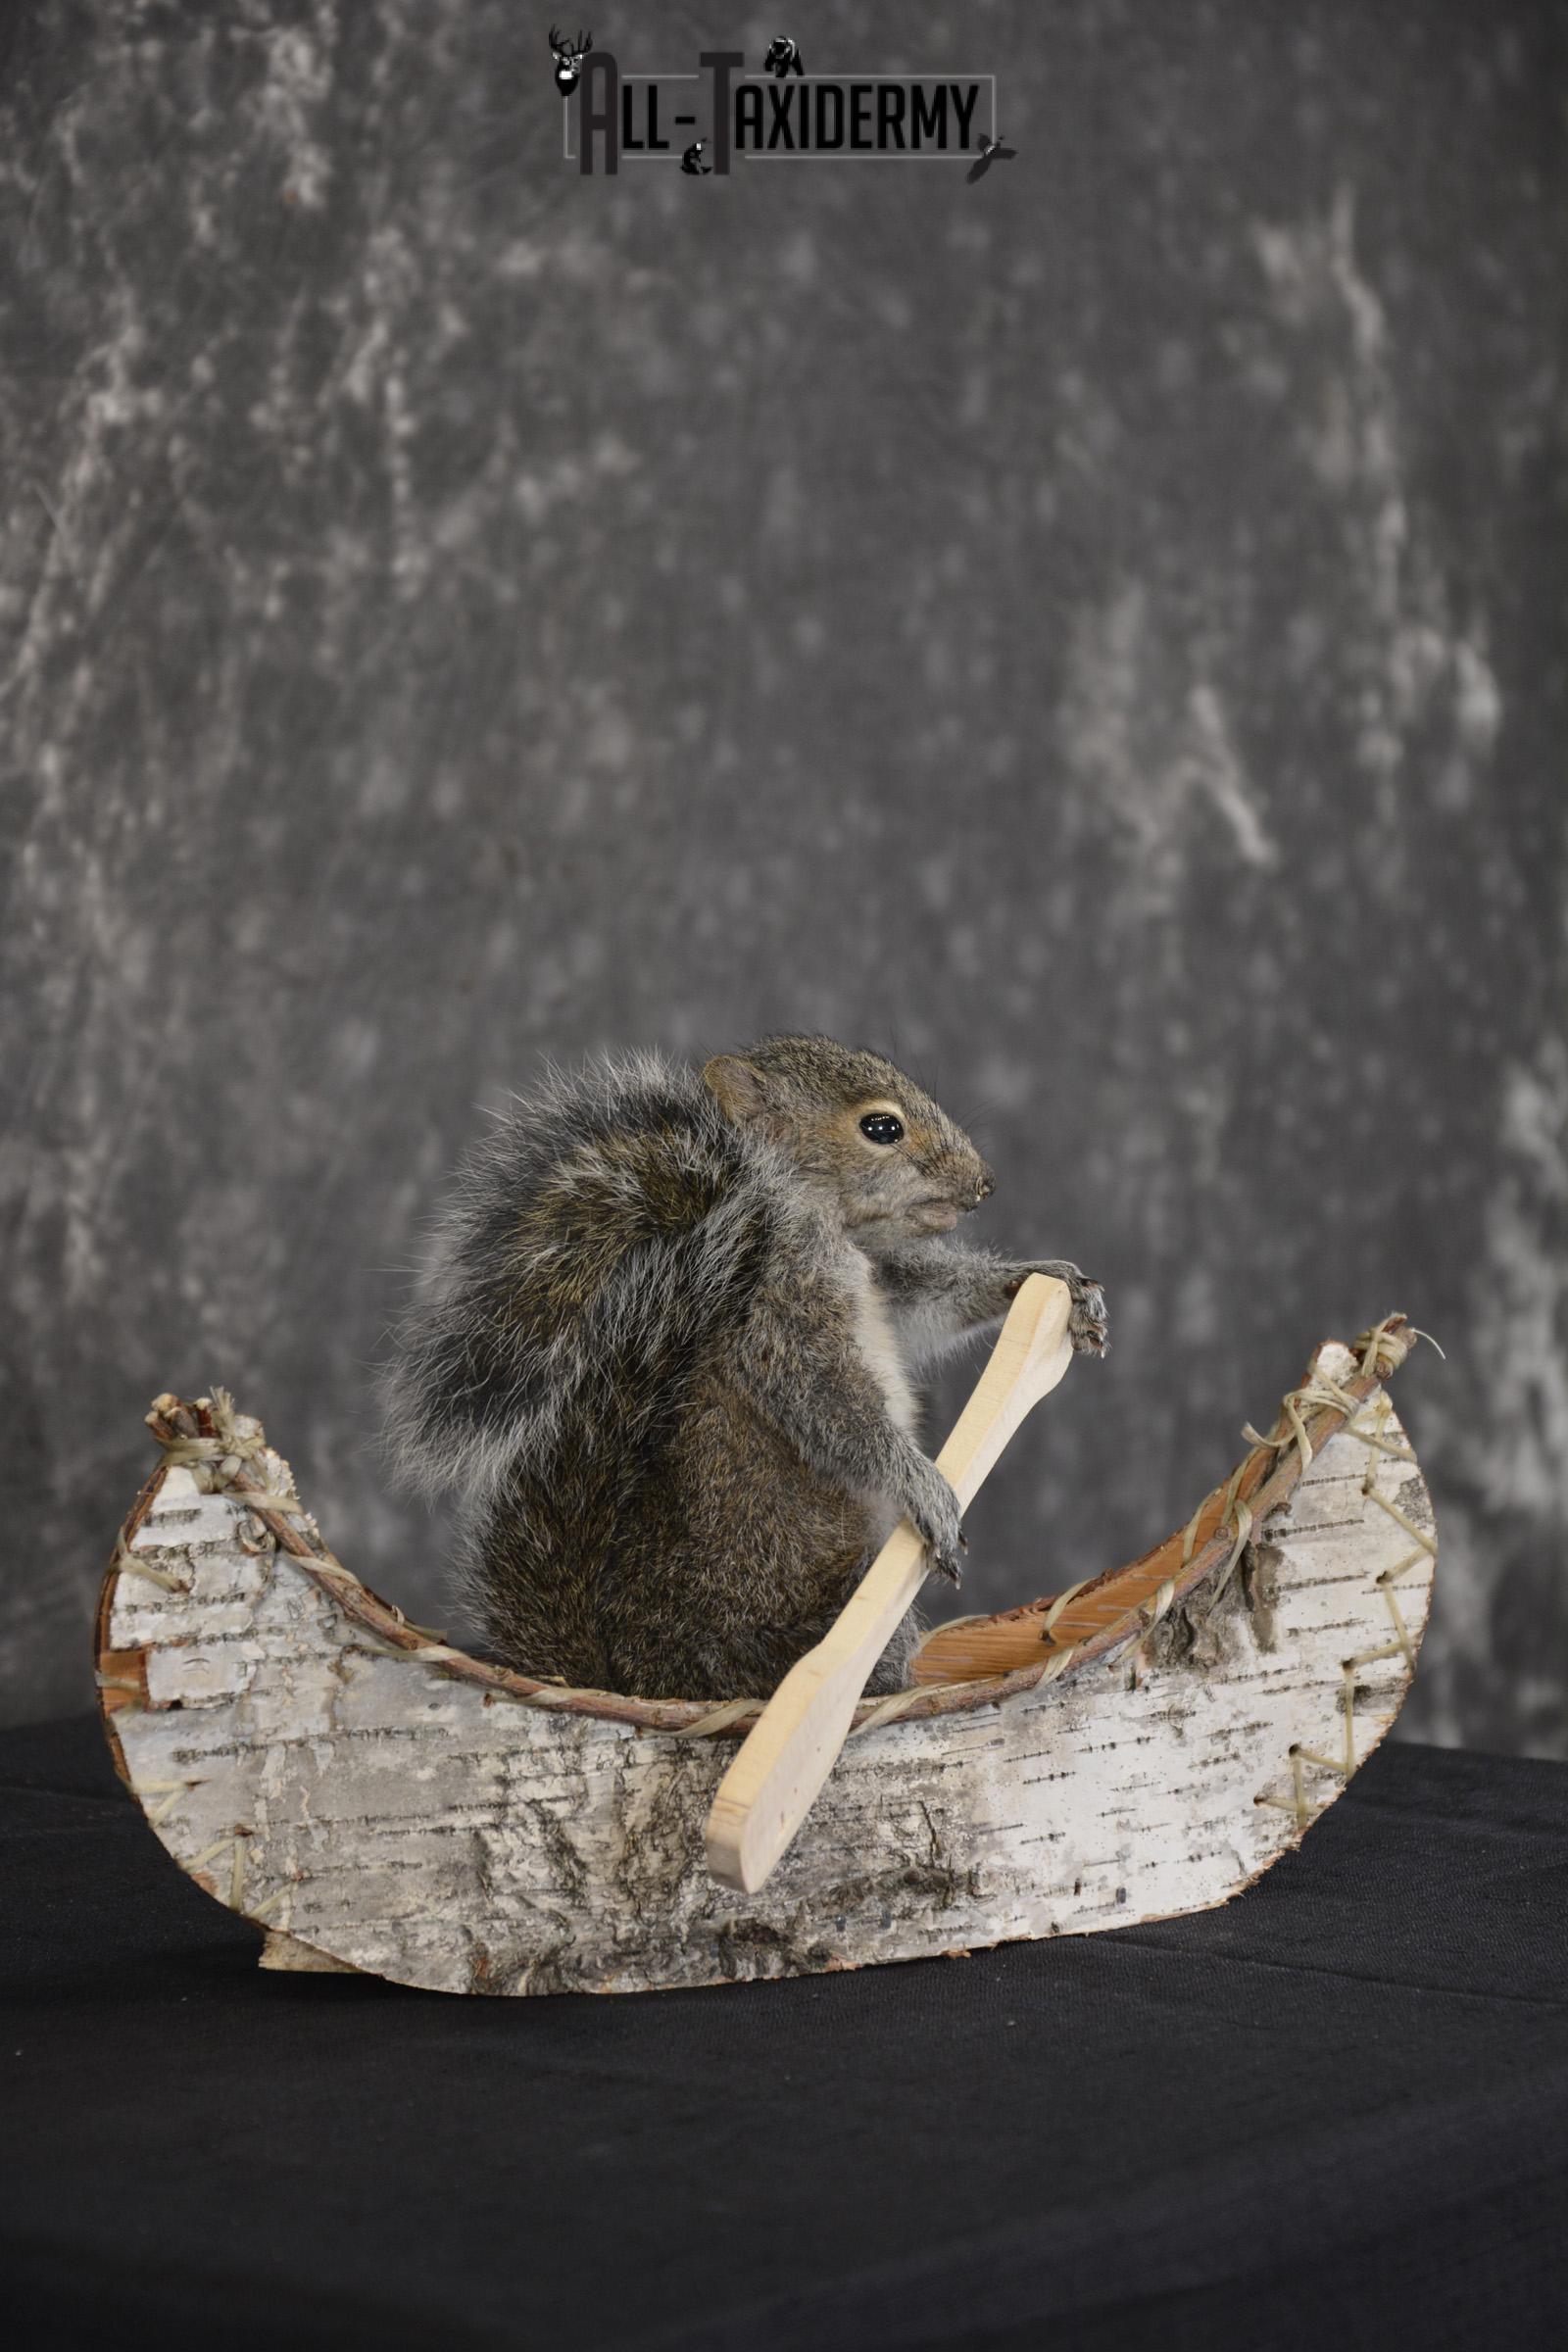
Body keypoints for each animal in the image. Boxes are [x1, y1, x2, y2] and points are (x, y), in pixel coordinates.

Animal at [381, 1036, 1107, 1701]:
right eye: (881, 1128)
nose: (984, 1184)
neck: (808, 1218)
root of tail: (644, 1683)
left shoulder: (880, 1275)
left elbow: (928, 1297)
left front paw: (1042, 1282)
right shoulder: (780, 1310)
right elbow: (829, 1402)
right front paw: (922, 1486)